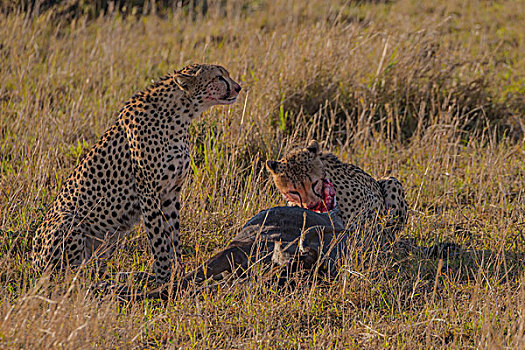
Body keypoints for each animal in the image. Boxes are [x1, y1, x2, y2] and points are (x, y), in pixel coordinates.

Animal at [33, 63, 243, 282]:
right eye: (219, 77)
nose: (238, 88)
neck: (181, 114)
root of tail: (33, 263)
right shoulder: (148, 192)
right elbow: (158, 237)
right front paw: (163, 277)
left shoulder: (171, 192)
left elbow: (173, 235)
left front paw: (177, 272)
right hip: (67, 220)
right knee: (72, 276)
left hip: (111, 236)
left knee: (93, 271)